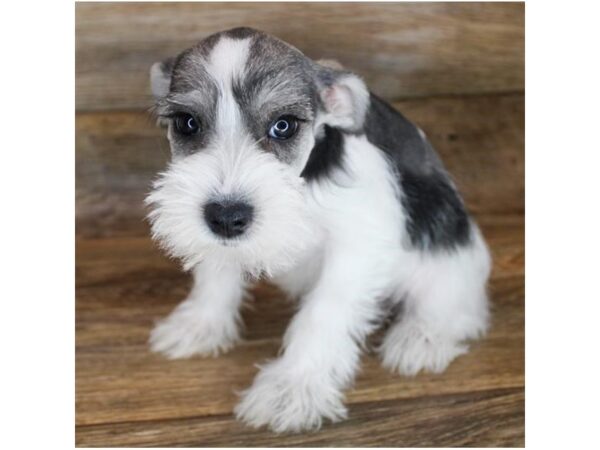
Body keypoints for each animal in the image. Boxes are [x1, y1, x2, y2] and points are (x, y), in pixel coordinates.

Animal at [146, 27, 492, 432]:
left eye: (283, 125)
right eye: (187, 122)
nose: (227, 217)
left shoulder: (356, 247)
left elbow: (323, 313)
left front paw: (293, 385)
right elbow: (214, 276)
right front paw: (200, 323)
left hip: (446, 240)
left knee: (455, 301)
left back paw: (424, 335)